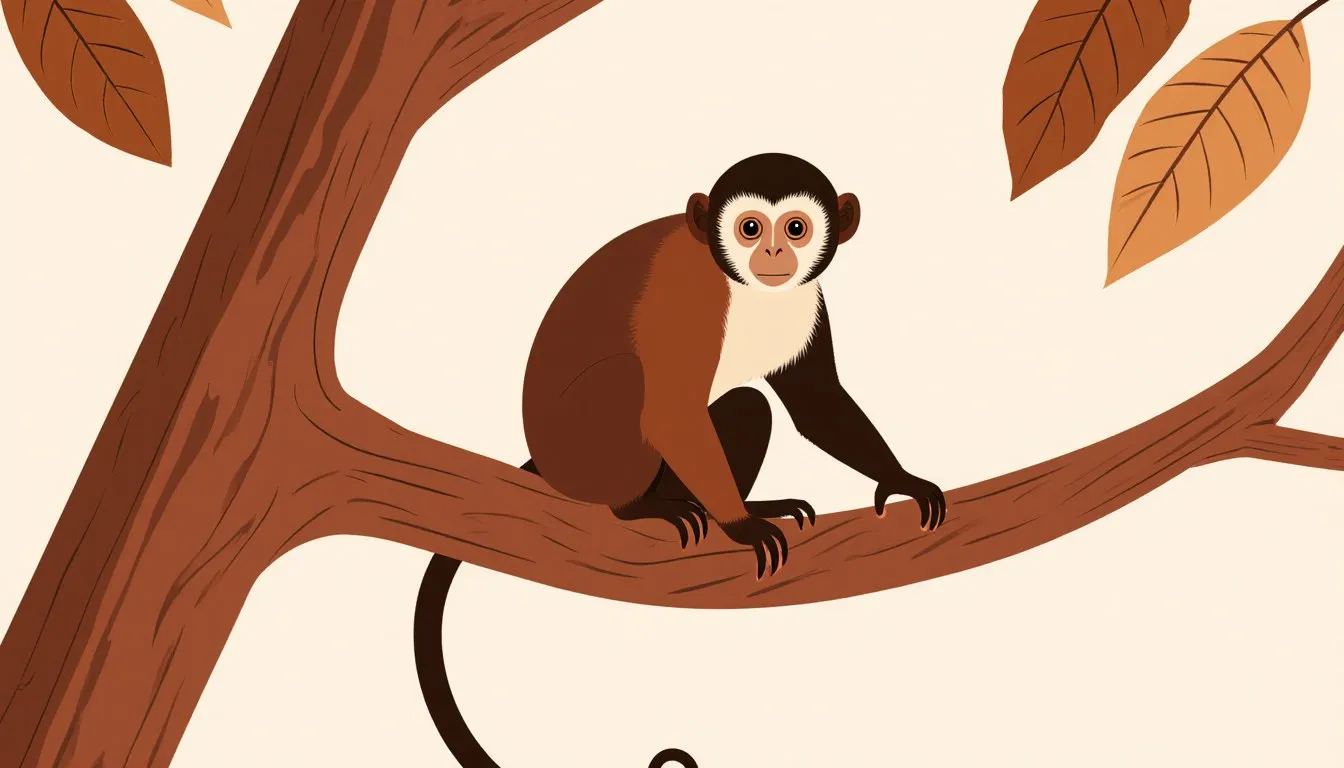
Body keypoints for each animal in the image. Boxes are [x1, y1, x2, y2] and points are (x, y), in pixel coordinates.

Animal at [414, 153, 947, 768]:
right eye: (749, 228)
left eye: (795, 227)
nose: (772, 254)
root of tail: (547, 462)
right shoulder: (684, 293)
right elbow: (671, 411)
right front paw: (740, 525)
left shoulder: (809, 300)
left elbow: (815, 403)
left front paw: (898, 478)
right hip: (585, 453)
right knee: (638, 382)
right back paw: (640, 508)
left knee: (749, 406)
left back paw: (712, 500)